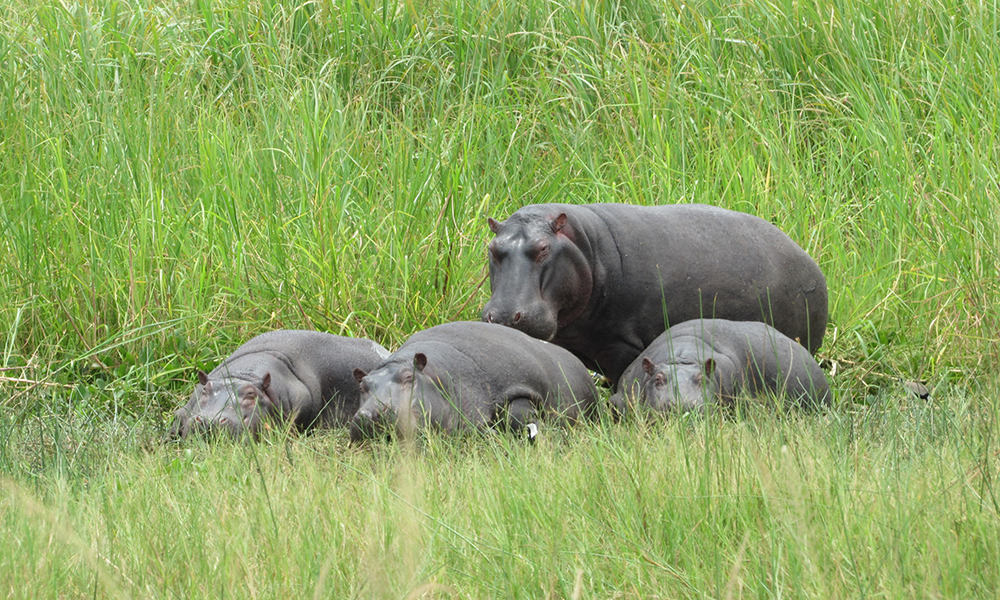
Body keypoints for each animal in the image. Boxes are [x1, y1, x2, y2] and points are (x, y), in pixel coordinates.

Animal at [482, 204, 828, 382]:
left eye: (543, 248)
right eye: (492, 247)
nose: (504, 315)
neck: (585, 246)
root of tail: (811, 263)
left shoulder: (622, 347)